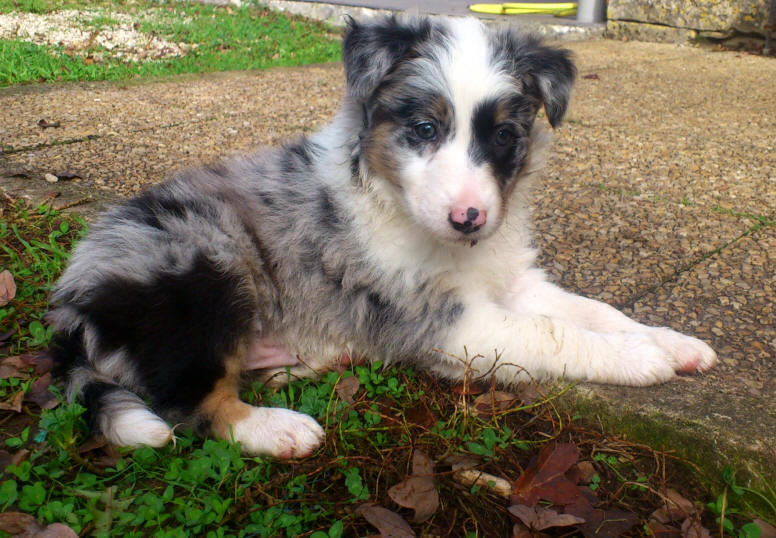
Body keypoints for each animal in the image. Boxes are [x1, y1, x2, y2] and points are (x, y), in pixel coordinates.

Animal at [47, 14, 716, 454]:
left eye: (504, 135)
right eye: (424, 128)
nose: (469, 218)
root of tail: (73, 299)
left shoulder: (510, 277)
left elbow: (591, 310)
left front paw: (673, 343)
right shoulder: (444, 322)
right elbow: (552, 334)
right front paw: (640, 359)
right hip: (203, 265)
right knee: (192, 404)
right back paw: (278, 427)